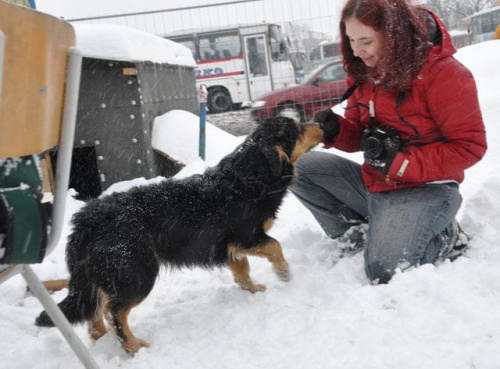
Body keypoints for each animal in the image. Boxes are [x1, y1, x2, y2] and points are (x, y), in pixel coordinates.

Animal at [36, 116, 324, 352]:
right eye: (297, 128)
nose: (321, 124)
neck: (250, 177)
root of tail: (86, 221)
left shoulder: (227, 245)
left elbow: (242, 269)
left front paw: (252, 289)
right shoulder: (246, 236)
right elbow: (275, 246)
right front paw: (284, 274)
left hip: (108, 273)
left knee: (94, 307)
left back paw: (101, 339)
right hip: (137, 272)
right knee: (114, 310)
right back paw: (132, 346)